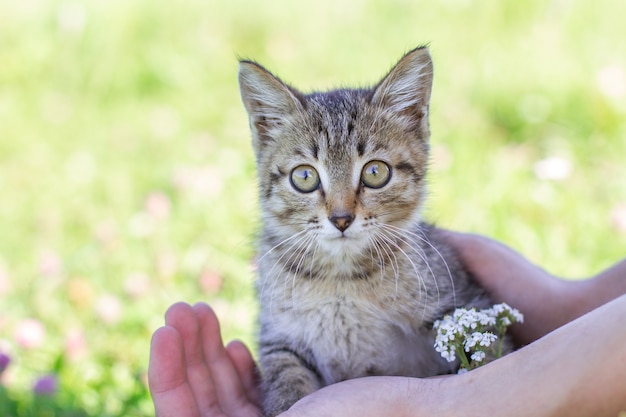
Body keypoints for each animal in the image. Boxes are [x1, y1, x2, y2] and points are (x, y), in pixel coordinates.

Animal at [239, 46, 508, 416]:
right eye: (304, 177)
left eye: (375, 172)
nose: (341, 218)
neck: (341, 280)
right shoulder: (279, 339)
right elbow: (286, 380)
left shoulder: (466, 305)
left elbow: (489, 349)